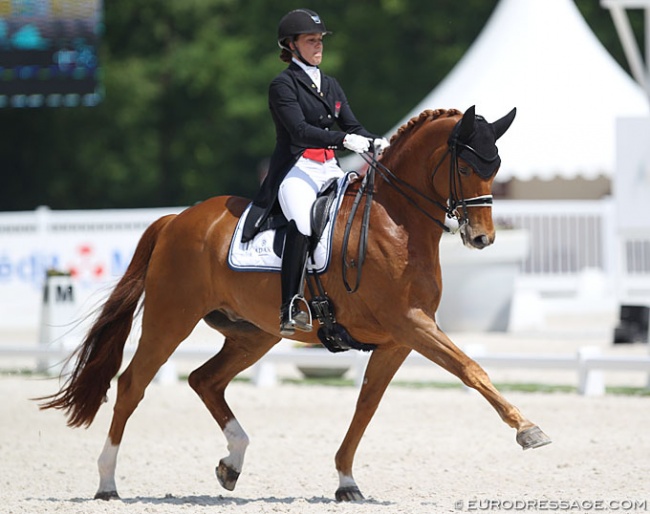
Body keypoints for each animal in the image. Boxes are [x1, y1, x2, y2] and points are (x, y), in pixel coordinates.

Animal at [39, 104, 548, 500]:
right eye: (464, 168)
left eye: (495, 167)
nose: (482, 239)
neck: (396, 223)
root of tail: (177, 219)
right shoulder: (410, 324)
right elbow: (471, 369)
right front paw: (528, 430)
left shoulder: (398, 340)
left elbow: (367, 405)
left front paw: (346, 481)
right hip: (170, 320)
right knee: (131, 385)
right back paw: (108, 483)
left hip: (254, 334)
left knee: (205, 380)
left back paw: (232, 463)